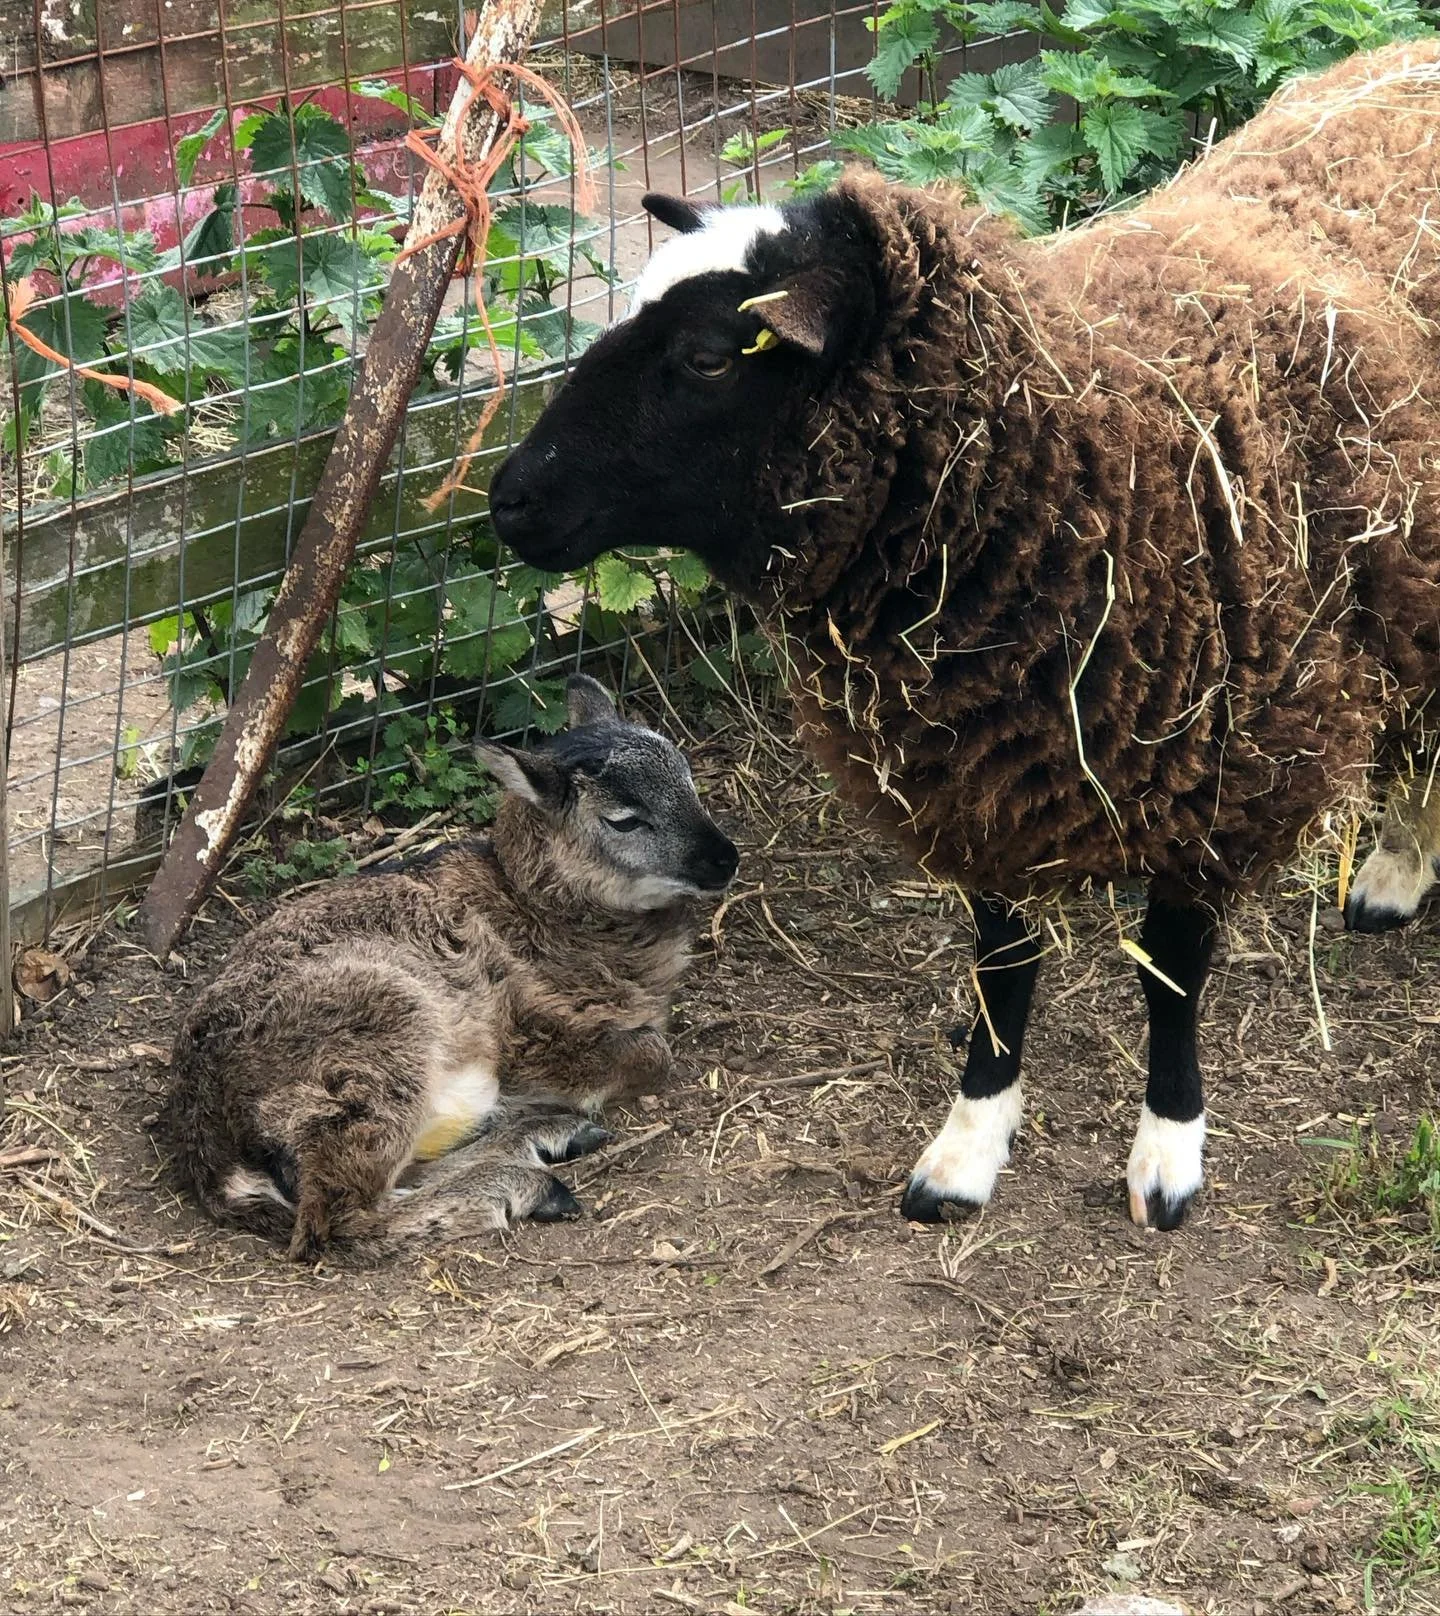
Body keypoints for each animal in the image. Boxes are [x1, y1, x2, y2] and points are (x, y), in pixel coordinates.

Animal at [164, 675, 738, 1260]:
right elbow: (653, 1052)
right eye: (624, 819)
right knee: (338, 1218)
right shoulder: (534, 1037)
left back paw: (545, 1136)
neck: (539, 913)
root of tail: (209, 1140)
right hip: (386, 1036)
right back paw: (526, 1185)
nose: (726, 859)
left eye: (688, 777)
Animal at [488, 41, 1440, 1232]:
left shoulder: (1214, 776)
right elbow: (1004, 963)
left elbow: (1170, 974)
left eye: (710, 355)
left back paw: (1396, 869)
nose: (507, 500)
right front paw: (969, 1144)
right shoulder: (986, 767)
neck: (1085, 457)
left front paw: (1168, 1150)